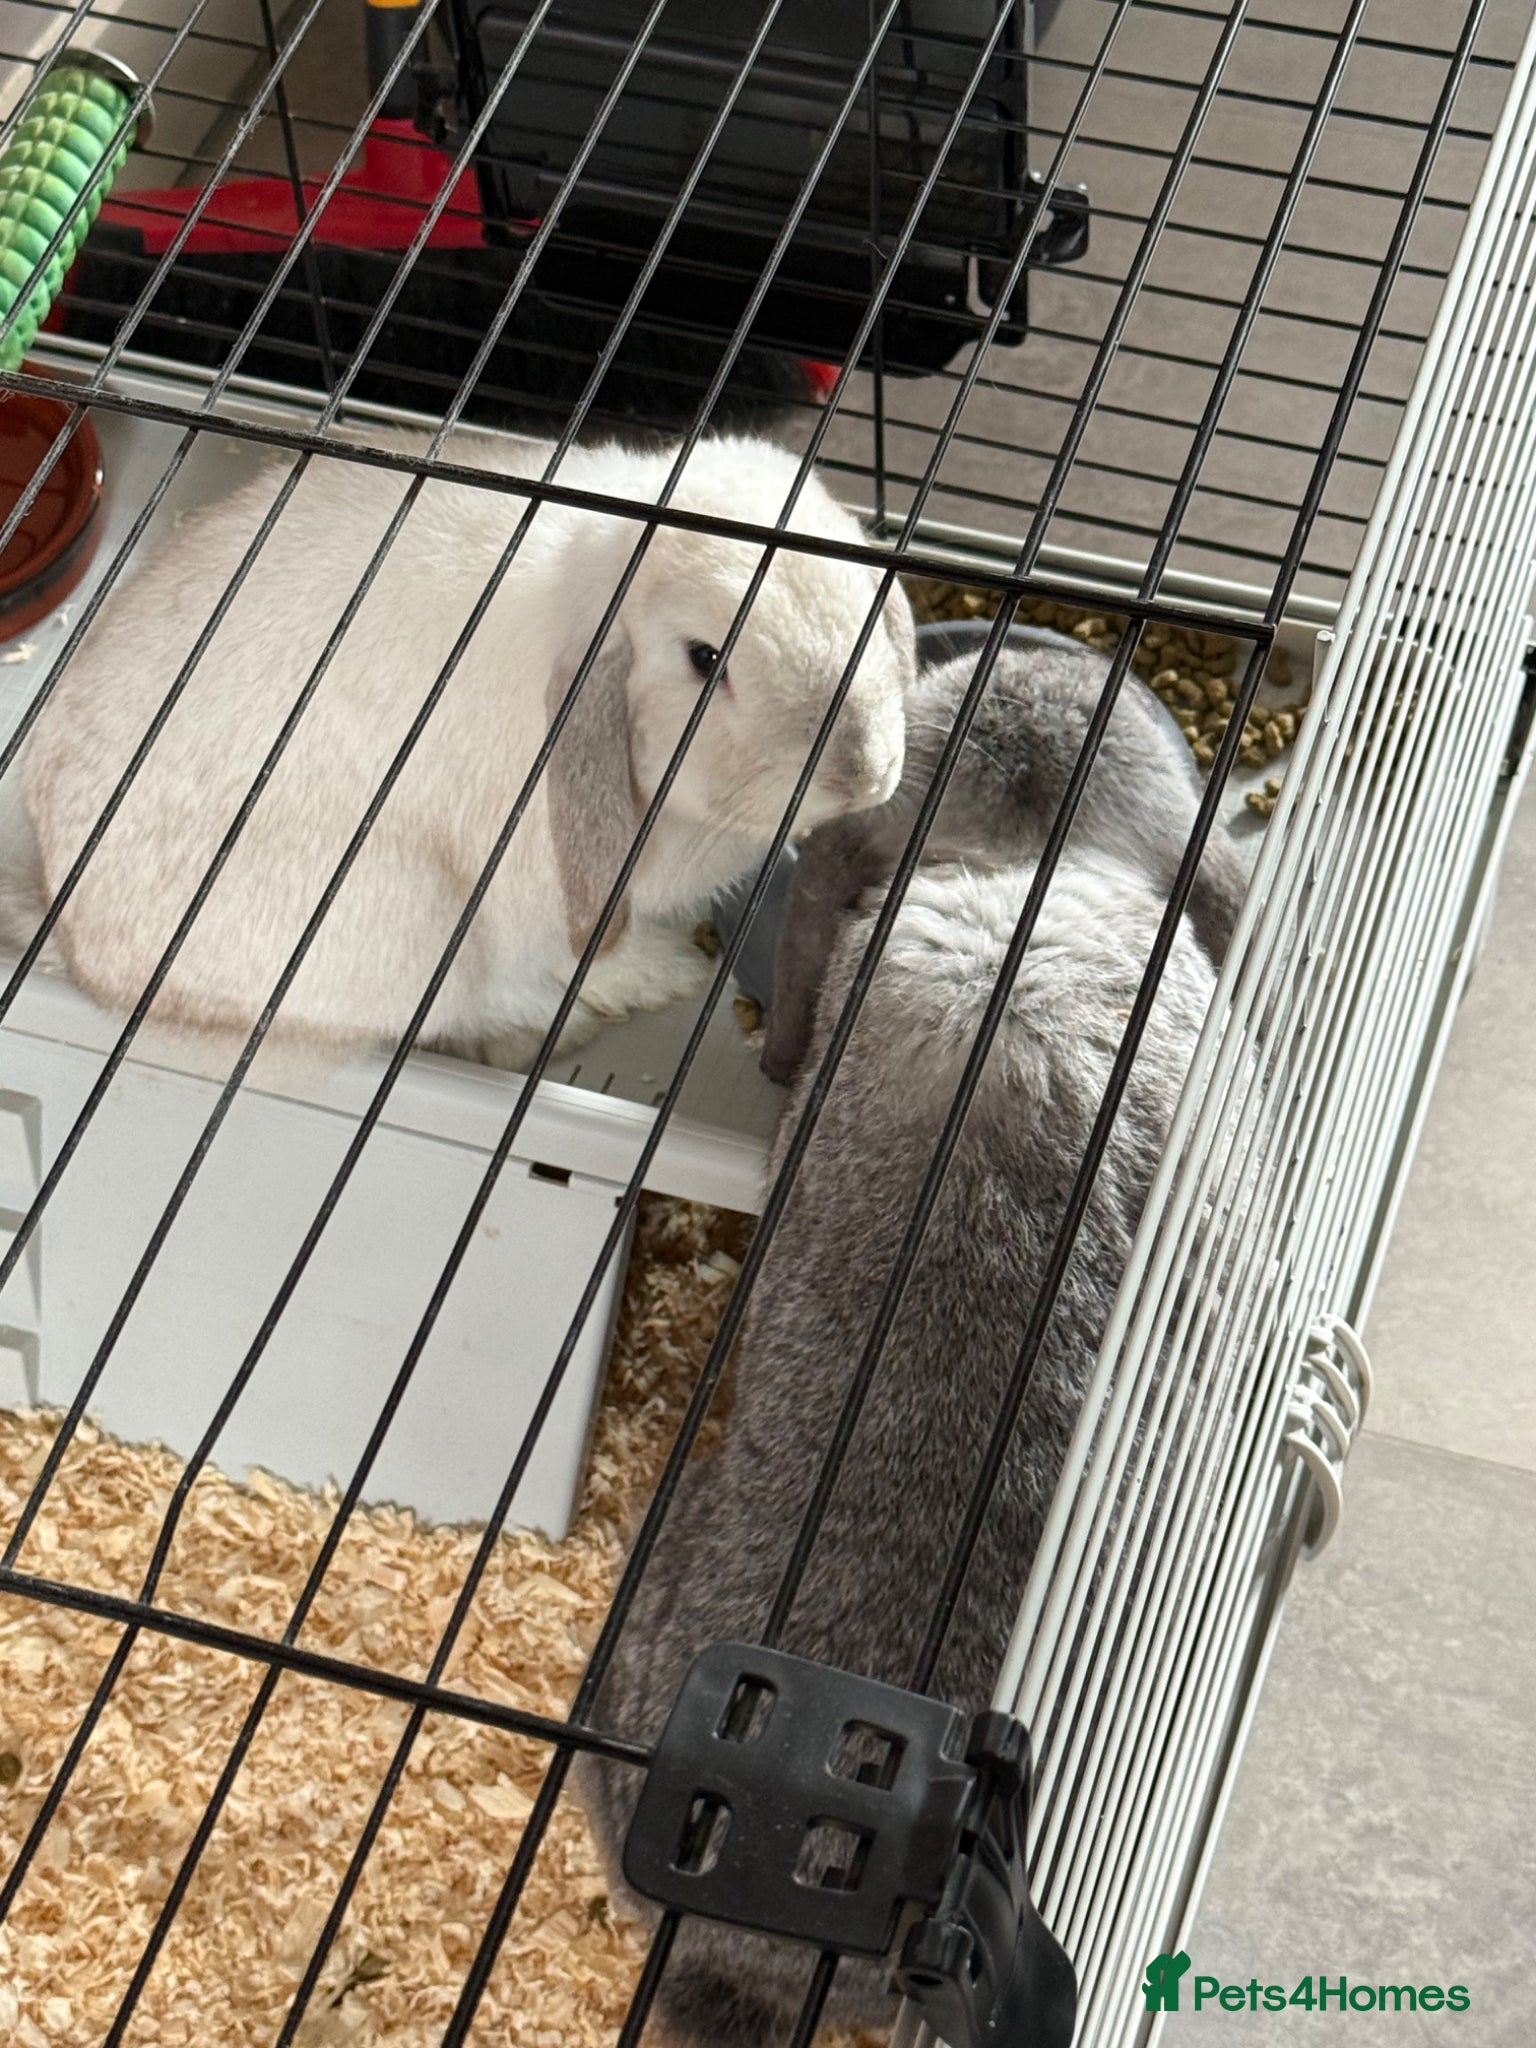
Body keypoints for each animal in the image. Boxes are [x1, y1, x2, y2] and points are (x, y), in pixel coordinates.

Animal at [12, 426, 913, 1070]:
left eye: (867, 593)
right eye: (705, 659)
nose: (866, 772)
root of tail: (77, 941)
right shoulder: (550, 899)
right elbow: (584, 958)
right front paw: (663, 975)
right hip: (404, 920)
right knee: (463, 1003)